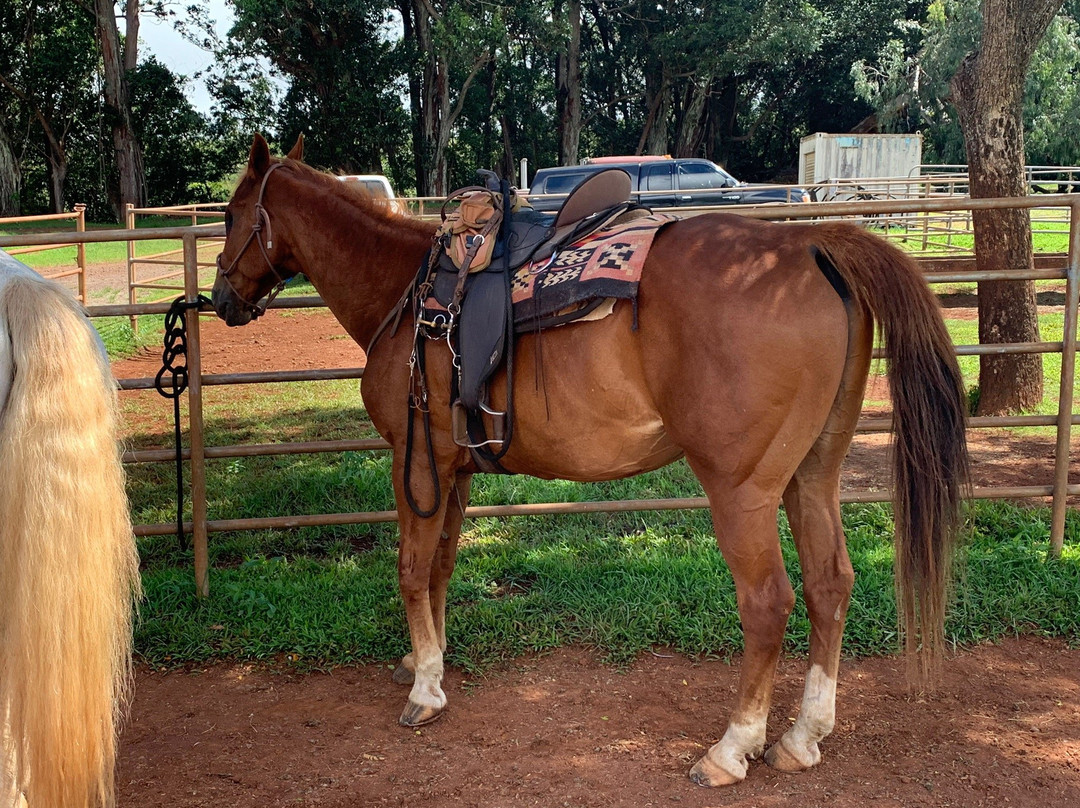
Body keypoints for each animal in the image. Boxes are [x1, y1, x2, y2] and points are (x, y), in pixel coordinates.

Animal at [212, 135, 972, 786]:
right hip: (811, 476)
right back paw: (803, 736)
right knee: (829, 585)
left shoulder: (417, 463)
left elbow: (407, 569)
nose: (221, 299)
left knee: (768, 603)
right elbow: (440, 568)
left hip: (743, 489)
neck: (409, 293)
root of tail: (812, 244)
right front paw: (425, 660)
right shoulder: (453, 473)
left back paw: (732, 749)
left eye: (230, 215)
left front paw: (425, 688)